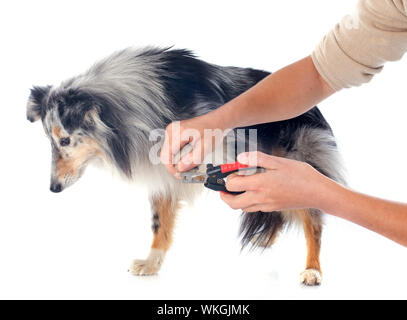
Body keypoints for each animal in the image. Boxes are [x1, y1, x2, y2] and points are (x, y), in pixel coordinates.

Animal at [26, 47, 344, 284]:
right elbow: (159, 222)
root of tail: (316, 110)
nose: (53, 188)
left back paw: (312, 269)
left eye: (65, 140)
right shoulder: (163, 174)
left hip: (296, 163)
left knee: (313, 220)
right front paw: (151, 263)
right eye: (48, 140)